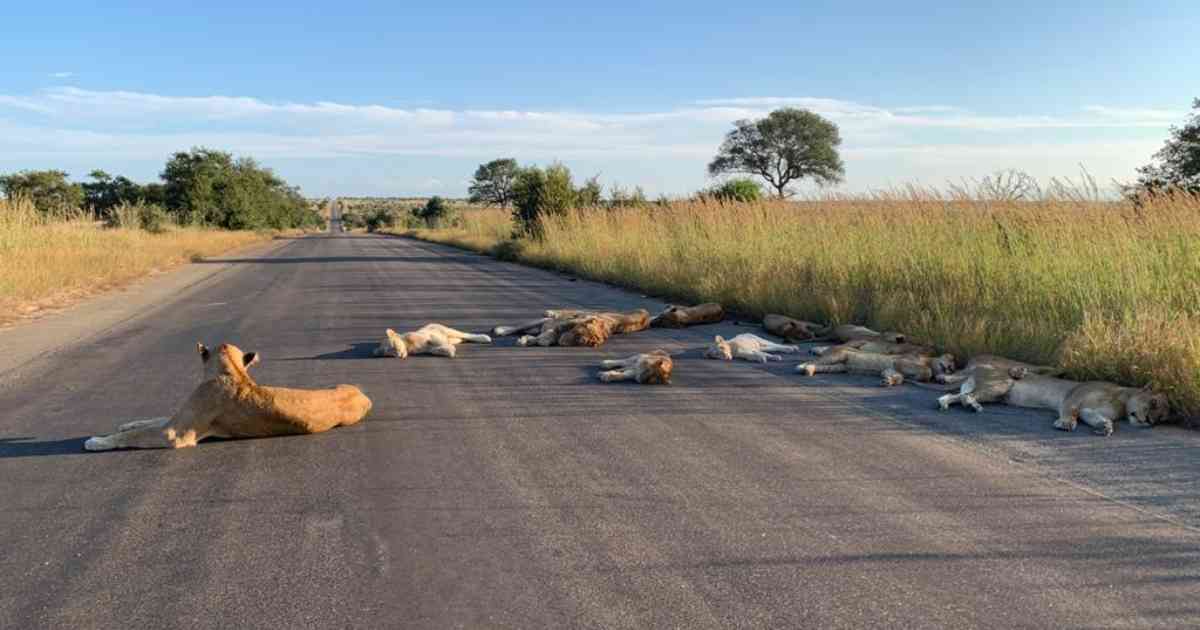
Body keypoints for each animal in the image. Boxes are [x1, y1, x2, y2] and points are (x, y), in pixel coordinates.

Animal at [85, 340, 372, 448]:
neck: (232, 371)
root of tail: (362, 394)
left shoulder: (176, 434)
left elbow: (135, 435)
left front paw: (96, 441)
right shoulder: (177, 418)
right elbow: (148, 421)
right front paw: (126, 423)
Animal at [796, 345, 955, 386]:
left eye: (952, 369)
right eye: (951, 364)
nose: (949, 369)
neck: (928, 359)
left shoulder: (890, 369)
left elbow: (899, 378)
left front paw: (888, 381)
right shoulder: (901, 361)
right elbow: (927, 371)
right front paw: (922, 376)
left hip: (838, 367)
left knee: (819, 366)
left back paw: (809, 371)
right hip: (838, 355)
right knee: (813, 361)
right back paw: (801, 367)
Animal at [936, 364, 1171, 434]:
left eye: (1162, 419)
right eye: (1153, 403)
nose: (1150, 422)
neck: (1121, 400)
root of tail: (978, 367)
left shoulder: (1089, 411)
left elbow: (1098, 418)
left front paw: (1105, 427)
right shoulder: (1074, 396)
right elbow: (1069, 411)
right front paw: (1066, 424)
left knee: (954, 396)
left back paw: (948, 403)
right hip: (1000, 385)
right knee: (967, 396)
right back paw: (973, 405)